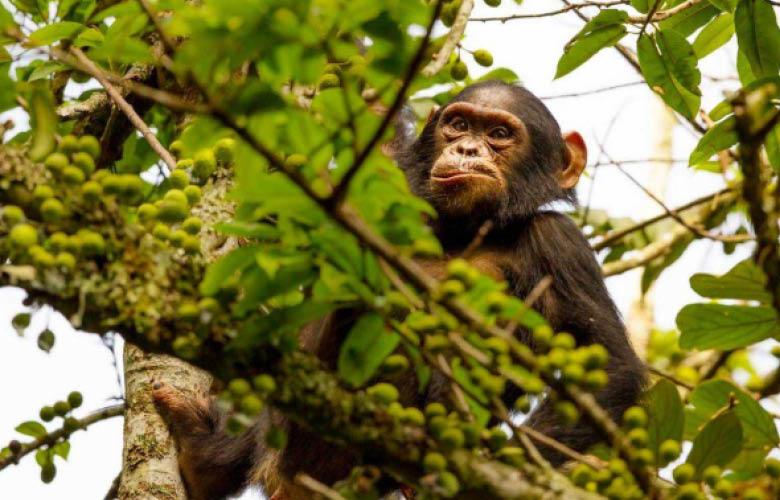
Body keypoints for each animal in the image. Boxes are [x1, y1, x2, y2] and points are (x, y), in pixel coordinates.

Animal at [152, 80, 647, 500]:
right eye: (458, 125)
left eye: (500, 133)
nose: (466, 148)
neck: (464, 229)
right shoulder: (389, 178)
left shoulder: (562, 245)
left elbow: (609, 366)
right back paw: (203, 455)